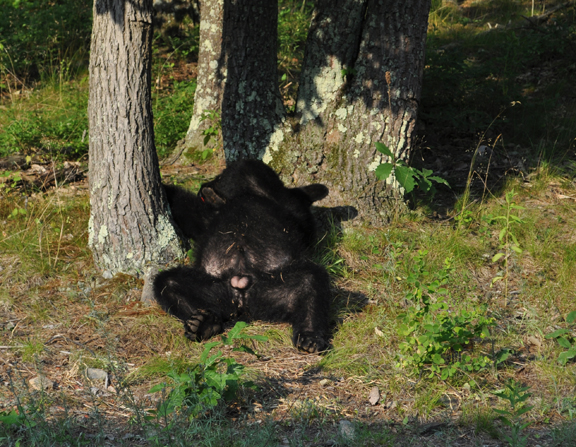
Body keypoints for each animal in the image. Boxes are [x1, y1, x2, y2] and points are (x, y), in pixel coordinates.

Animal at [155, 160, 330, 354]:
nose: (203, 189)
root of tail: (241, 296)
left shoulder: (291, 210)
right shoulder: (206, 219)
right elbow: (184, 207)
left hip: (270, 287)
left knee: (311, 279)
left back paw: (310, 337)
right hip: (216, 289)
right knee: (168, 283)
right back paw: (204, 323)